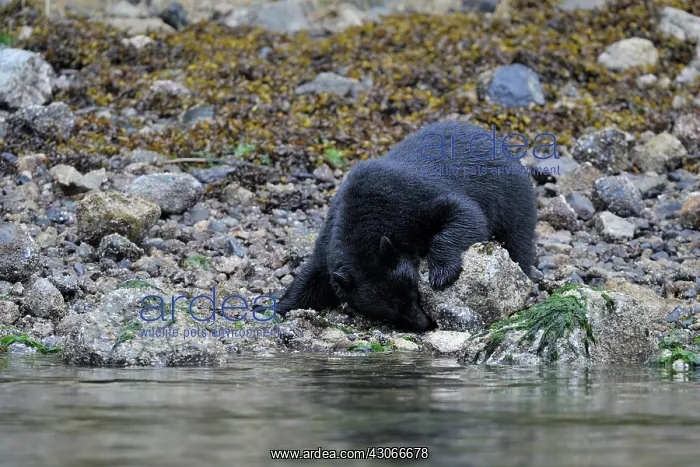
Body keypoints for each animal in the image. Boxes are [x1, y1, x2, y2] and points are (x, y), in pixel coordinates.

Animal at [275, 120, 539, 332]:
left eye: (415, 294)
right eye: (392, 313)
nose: (425, 324)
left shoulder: (410, 199)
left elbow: (464, 213)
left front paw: (442, 272)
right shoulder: (330, 235)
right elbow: (313, 274)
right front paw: (279, 305)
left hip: (514, 198)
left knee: (519, 241)